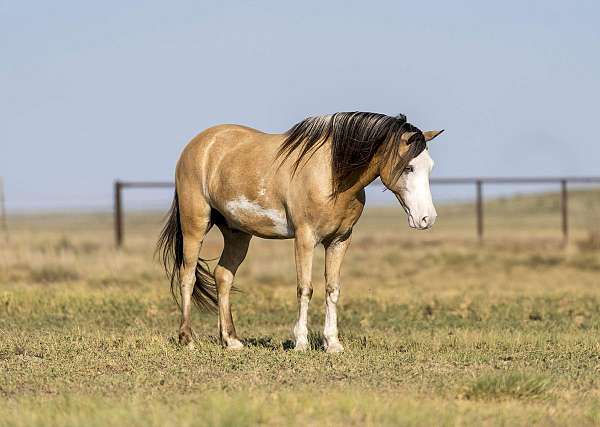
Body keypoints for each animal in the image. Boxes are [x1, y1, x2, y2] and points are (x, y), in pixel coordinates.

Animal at [157, 112, 442, 352]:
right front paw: (301, 343)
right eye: (408, 167)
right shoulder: (305, 239)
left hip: (237, 233)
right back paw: (187, 339)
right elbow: (305, 288)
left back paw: (231, 340)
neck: (331, 174)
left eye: (430, 167)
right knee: (187, 276)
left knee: (223, 276)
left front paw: (332, 343)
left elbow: (332, 289)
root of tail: (199, 144)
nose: (427, 218)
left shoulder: (339, 241)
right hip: (195, 225)